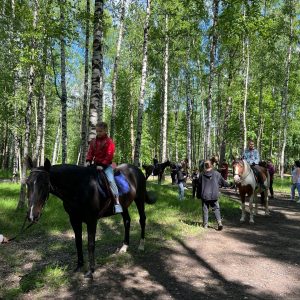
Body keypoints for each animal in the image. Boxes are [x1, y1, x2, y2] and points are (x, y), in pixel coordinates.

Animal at [25, 158, 156, 278]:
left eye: (45, 184)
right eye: (27, 183)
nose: (32, 215)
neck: (78, 187)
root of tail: (136, 169)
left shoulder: (92, 220)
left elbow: (90, 244)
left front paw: (91, 270)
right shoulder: (74, 220)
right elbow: (78, 242)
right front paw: (79, 266)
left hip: (139, 199)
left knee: (142, 220)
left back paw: (141, 246)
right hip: (124, 205)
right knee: (127, 221)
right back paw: (124, 247)